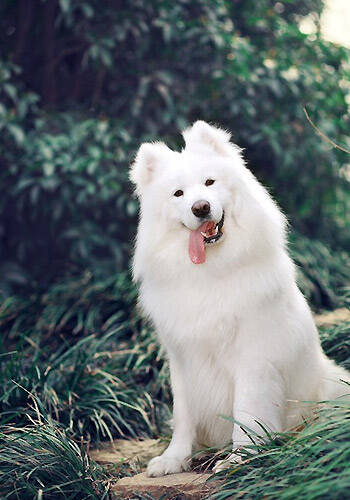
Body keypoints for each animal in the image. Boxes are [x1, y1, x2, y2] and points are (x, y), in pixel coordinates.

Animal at [129, 121, 350, 476]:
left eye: (209, 182)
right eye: (178, 194)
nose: (201, 207)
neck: (210, 272)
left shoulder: (253, 358)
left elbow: (247, 411)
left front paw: (241, 458)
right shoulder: (183, 359)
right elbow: (183, 416)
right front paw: (174, 459)